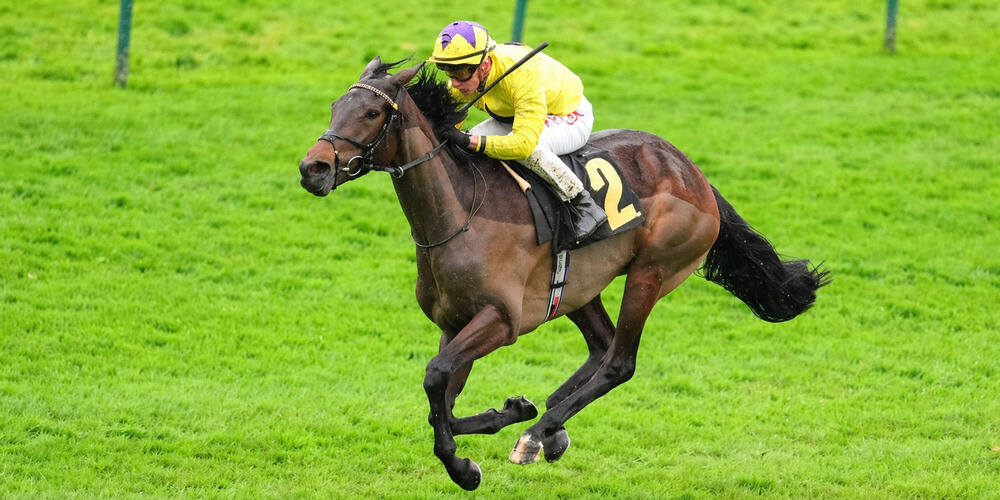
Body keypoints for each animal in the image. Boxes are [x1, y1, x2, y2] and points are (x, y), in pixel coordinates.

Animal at [298, 57, 829, 490]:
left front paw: (467, 465)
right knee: (601, 347)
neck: (460, 213)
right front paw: (512, 413)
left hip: (652, 271)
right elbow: (440, 401)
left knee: (619, 361)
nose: (312, 168)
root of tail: (694, 174)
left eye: (371, 113)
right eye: (335, 106)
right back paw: (550, 426)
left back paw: (536, 435)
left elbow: (436, 378)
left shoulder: (502, 321)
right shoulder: (455, 323)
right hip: (579, 288)